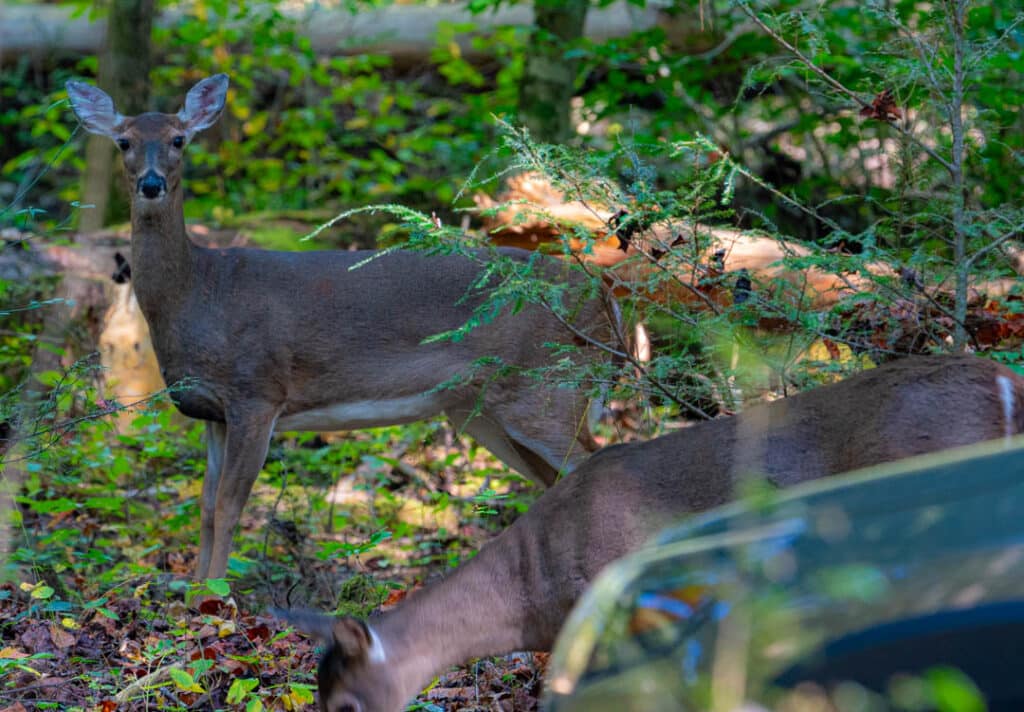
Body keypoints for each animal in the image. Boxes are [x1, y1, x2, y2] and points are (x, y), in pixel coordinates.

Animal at [66, 74, 619, 580]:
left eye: (179, 138)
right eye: (123, 141)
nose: (151, 184)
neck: (199, 293)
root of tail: (605, 298)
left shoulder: (258, 391)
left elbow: (228, 508)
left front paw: (215, 599)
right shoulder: (212, 412)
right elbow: (203, 507)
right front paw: (191, 594)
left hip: (546, 386)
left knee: (599, 459)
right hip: (480, 408)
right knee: (556, 481)